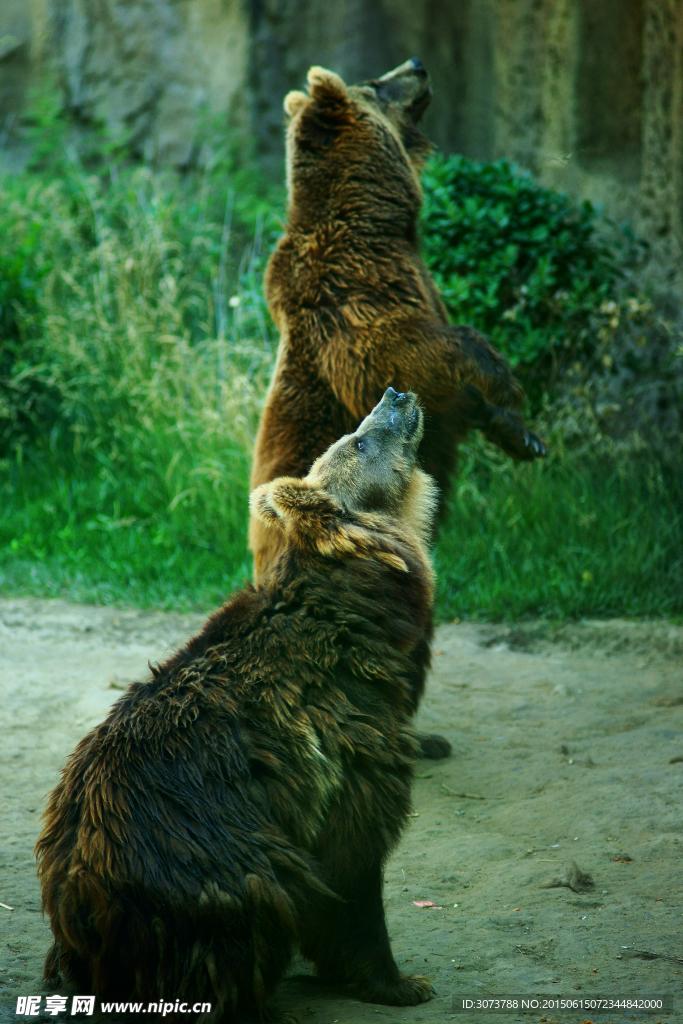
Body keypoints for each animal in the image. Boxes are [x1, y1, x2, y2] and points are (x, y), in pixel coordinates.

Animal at [37, 387, 436, 1019]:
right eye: (358, 441)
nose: (395, 395)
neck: (365, 608)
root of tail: (76, 888)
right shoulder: (348, 738)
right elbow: (353, 861)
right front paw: (398, 980)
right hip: (210, 860)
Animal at [250, 58, 544, 585]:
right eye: (374, 84)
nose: (417, 64)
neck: (377, 218)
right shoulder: (349, 287)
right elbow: (394, 353)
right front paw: (505, 379)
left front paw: (522, 434)